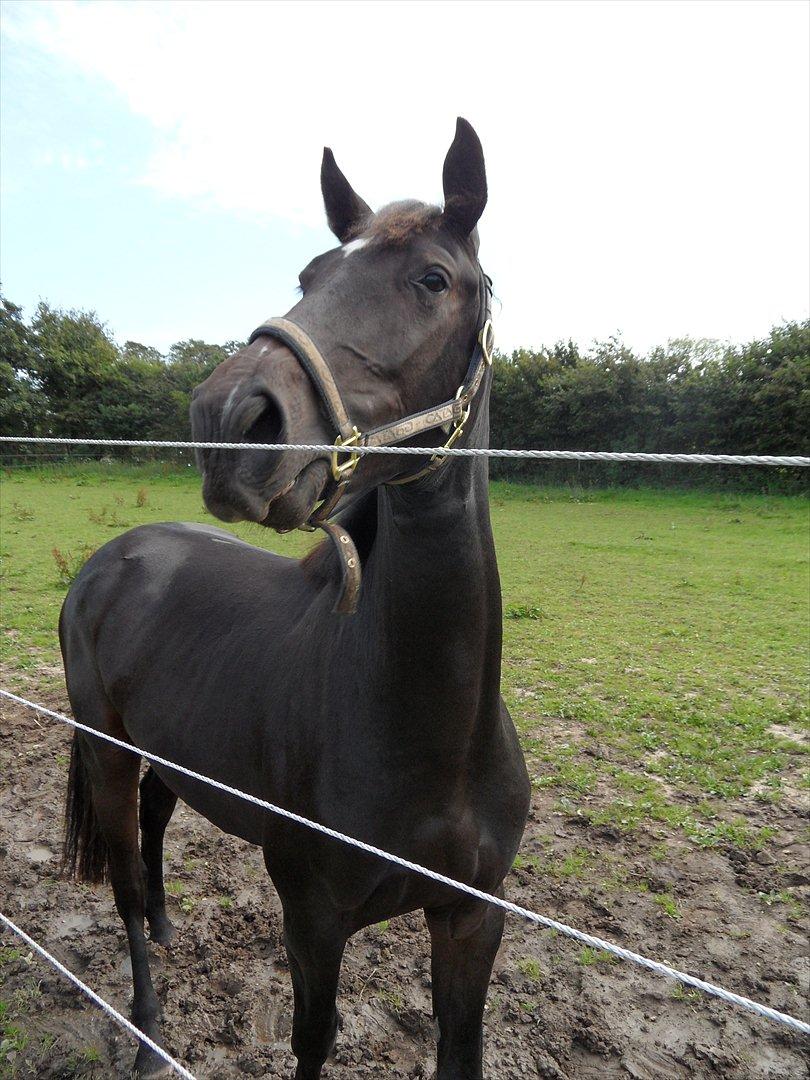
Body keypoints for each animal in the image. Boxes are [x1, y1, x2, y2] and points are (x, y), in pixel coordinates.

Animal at [61, 118, 533, 1080]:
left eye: (433, 279)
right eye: (310, 276)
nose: (229, 418)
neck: (436, 741)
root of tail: (110, 559)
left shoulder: (474, 918)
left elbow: (460, 1048)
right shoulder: (314, 921)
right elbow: (313, 1043)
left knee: (158, 828)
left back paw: (167, 924)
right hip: (108, 755)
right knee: (122, 883)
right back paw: (148, 1024)